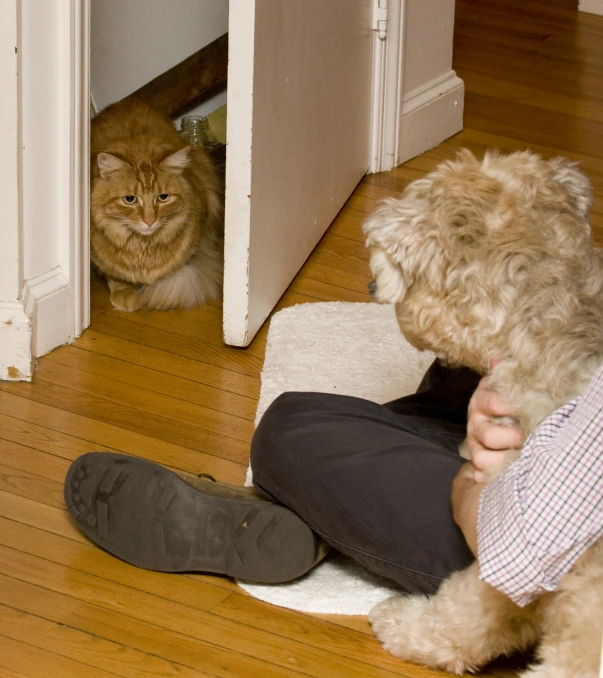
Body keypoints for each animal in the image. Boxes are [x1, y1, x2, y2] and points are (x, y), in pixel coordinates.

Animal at [88, 99, 223, 312]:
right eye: (130, 199)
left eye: (163, 197)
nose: (150, 221)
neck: (142, 248)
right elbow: (114, 273)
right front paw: (123, 291)